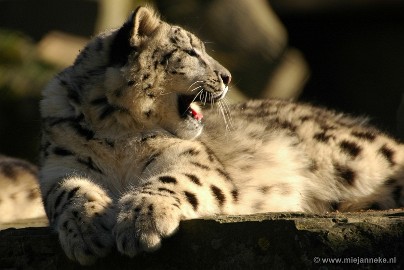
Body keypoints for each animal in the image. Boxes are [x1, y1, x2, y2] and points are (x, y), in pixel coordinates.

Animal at [38, 5, 404, 264]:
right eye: (191, 53)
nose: (227, 76)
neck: (117, 132)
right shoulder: (58, 166)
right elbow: (67, 191)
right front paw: (86, 230)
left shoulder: (188, 158)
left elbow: (173, 179)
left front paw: (141, 221)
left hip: (358, 155)